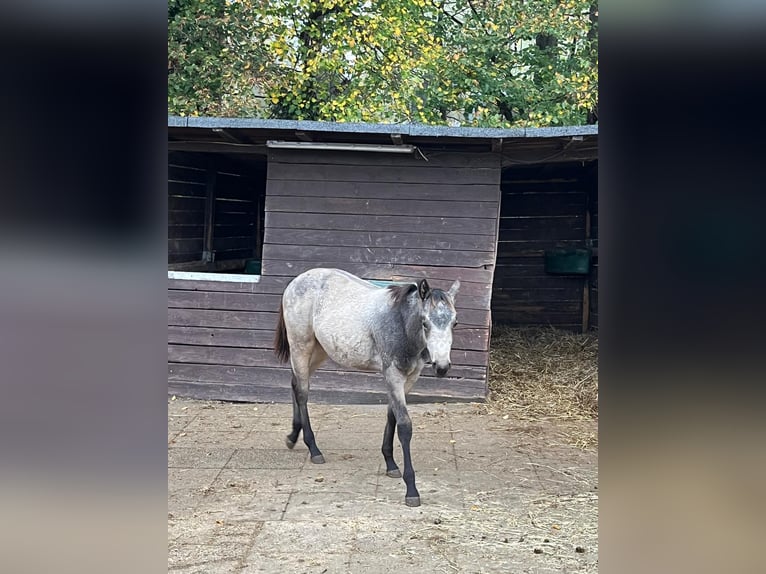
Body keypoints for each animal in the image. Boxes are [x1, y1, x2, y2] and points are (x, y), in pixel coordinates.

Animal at [272, 268, 460, 506]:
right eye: (425, 322)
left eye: (454, 323)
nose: (442, 366)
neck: (400, 323)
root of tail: (296, 282)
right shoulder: (393, 375)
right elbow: (404, 426)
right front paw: (411, 489)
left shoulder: (408, 378)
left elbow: (392, 416)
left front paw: (390, 463)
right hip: (300, 346)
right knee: (302, 393)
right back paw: (313, 449)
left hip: (319, 351)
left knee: (295, 382)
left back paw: (292, 436)